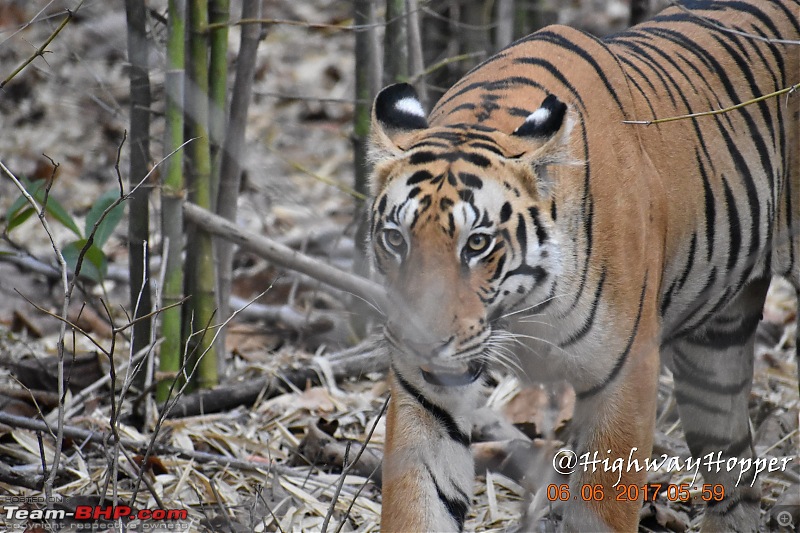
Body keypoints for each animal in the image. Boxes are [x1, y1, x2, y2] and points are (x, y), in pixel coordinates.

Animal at [366, 2, 796, 528]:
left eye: (477, 244)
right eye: (395, 239)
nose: (420, 341)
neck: (525, 310)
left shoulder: (626, 378)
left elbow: (603, 508)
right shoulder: (424, 393)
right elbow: (421, 500)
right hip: (716, 348)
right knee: (734, 471)